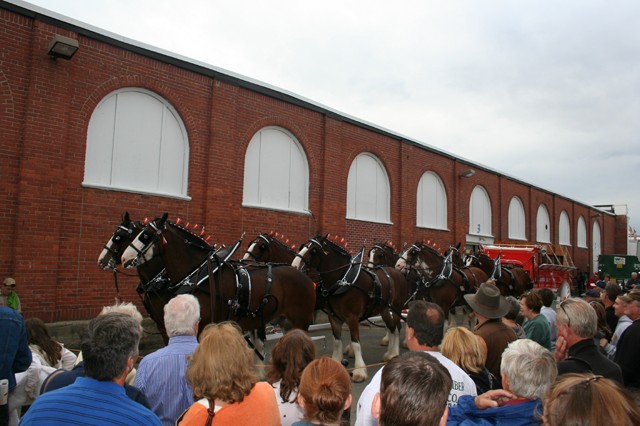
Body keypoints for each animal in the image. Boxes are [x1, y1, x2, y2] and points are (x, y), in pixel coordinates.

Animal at [292, 235, 408, 384]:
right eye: (302, 246)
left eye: (313, 250)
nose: (295, 265)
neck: (343, 281)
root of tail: (397, 272)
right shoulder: (334, 317)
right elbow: (336, 341)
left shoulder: (352, 317)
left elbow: (356, 342)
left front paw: (359, 372)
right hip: (385, 310)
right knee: (392, 328)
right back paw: (390, 354)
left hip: (396, 309)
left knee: (397, 328)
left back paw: (394, 354)